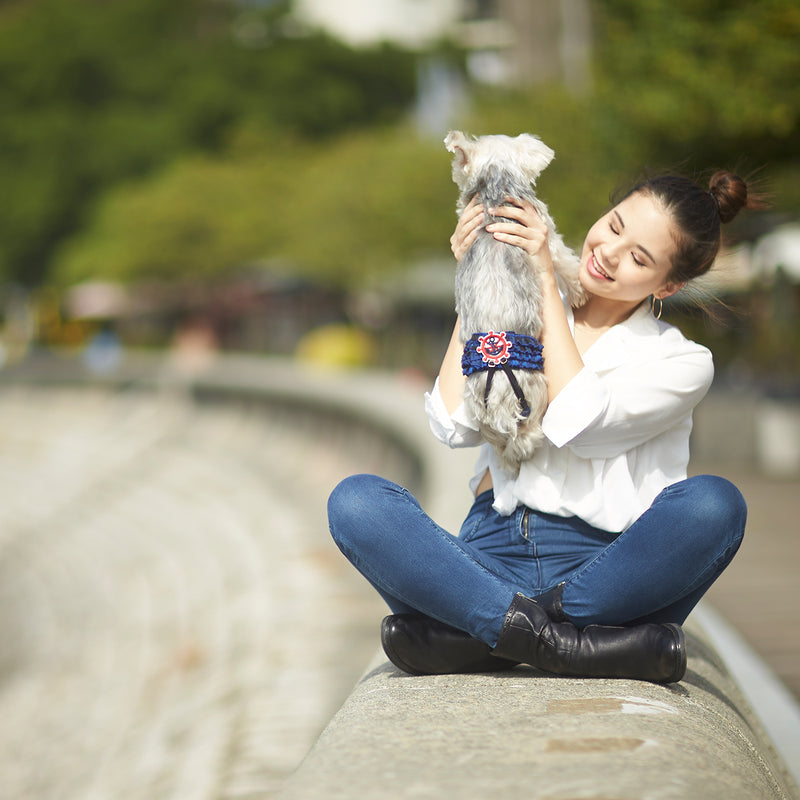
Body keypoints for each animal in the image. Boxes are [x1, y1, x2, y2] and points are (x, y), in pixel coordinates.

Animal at [446, 131, 584, 476]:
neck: (494, 187)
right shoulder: (547, 234)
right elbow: (565, 261)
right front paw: (580, 288)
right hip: (536, 395)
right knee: (529, 435)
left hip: (477, 409)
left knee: (503, 446)